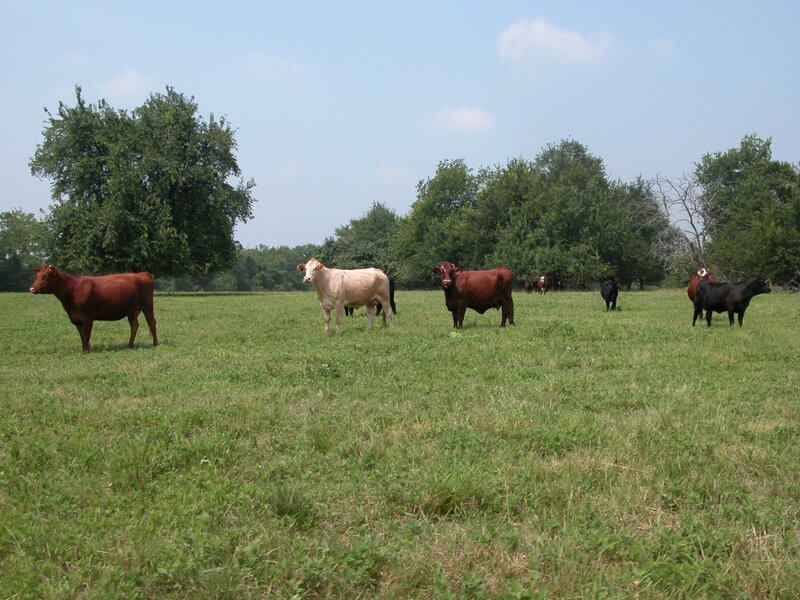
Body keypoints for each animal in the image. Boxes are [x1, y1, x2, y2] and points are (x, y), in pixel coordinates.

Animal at [29, 264, 158, 353]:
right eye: (37, 276)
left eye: (45, 276)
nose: (32, 288)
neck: (72, 291)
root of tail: (142, 273)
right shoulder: (75, 318)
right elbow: (81, 335)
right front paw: (84, 349)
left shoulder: (88, 317)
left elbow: (87, 334)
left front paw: (87, 351)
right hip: (132, 310)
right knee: (134, 325)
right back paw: (130, 345)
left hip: (147, 305)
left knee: (151, 322)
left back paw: (155, 344)